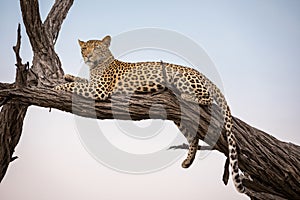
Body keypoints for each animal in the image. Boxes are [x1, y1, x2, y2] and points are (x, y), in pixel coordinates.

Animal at [55, 35, 245, 193]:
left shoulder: (99, 90)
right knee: (193, 137)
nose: (87, 56)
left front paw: (58, 87)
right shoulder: (93, 84)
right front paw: (70, 76)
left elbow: (77, 87)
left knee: (207, 98)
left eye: (96, 48)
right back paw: (188, 161)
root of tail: (201, 73)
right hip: (180, 118)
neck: (97, 66)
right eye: (84, 48)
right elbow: (81, 81)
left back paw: (186, 95)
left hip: (183, 80)